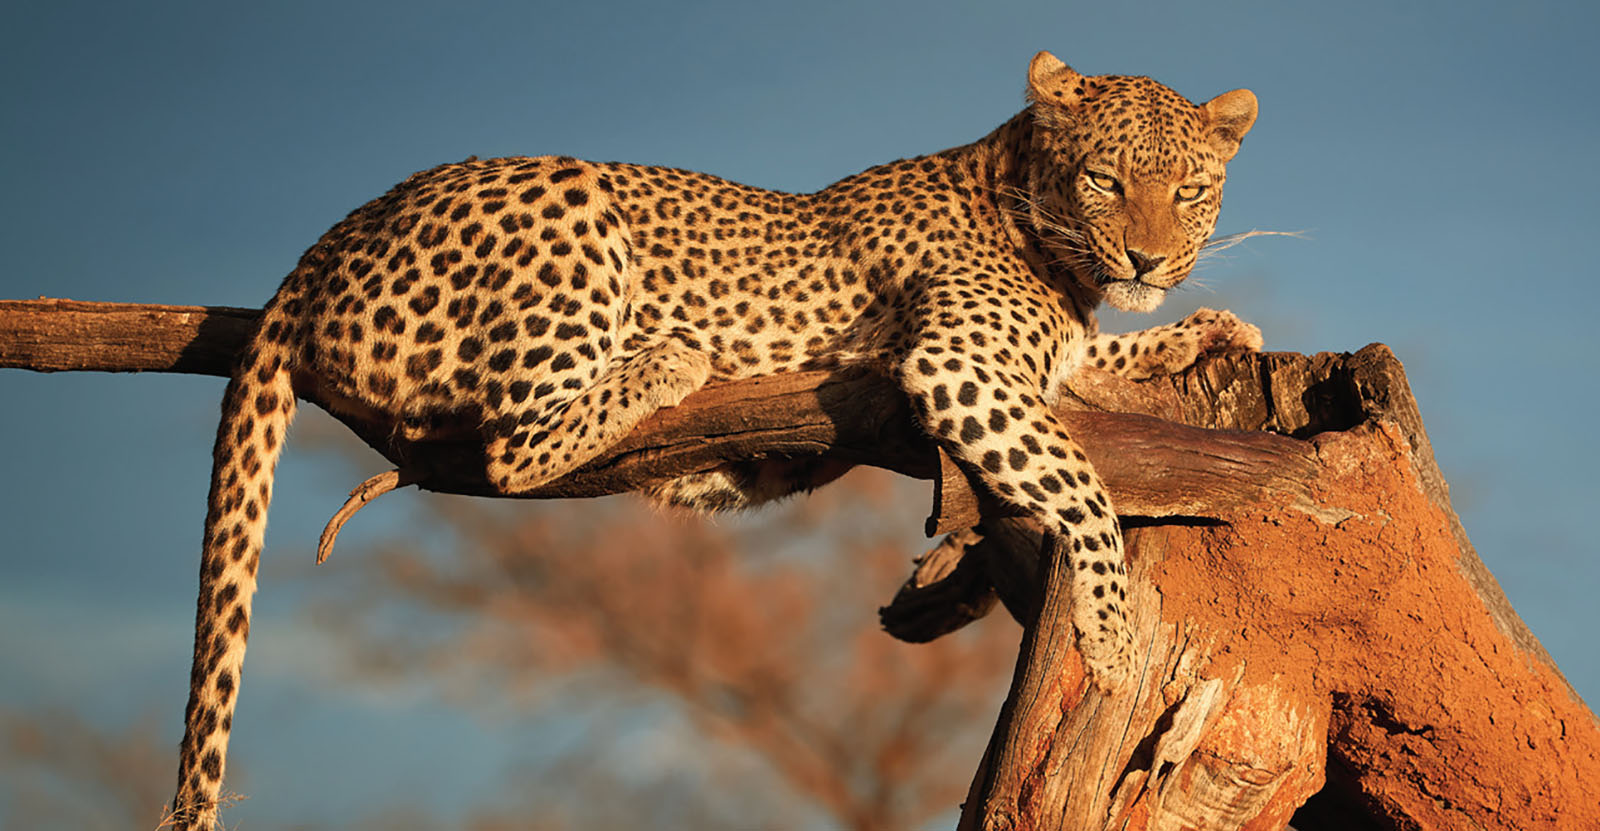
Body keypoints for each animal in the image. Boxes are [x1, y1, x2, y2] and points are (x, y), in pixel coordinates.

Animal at [168, 51, 1260, 828]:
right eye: (1105, 180)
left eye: (1191, 192)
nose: (1150, 258)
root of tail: (322, 245)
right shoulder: (958, 364)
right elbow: (1084, 487)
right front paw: (1111, 638)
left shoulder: (1047, 358)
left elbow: (1102, 360)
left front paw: (1209, 331)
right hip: (569, 209)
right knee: (514, 446)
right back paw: (673, 358)